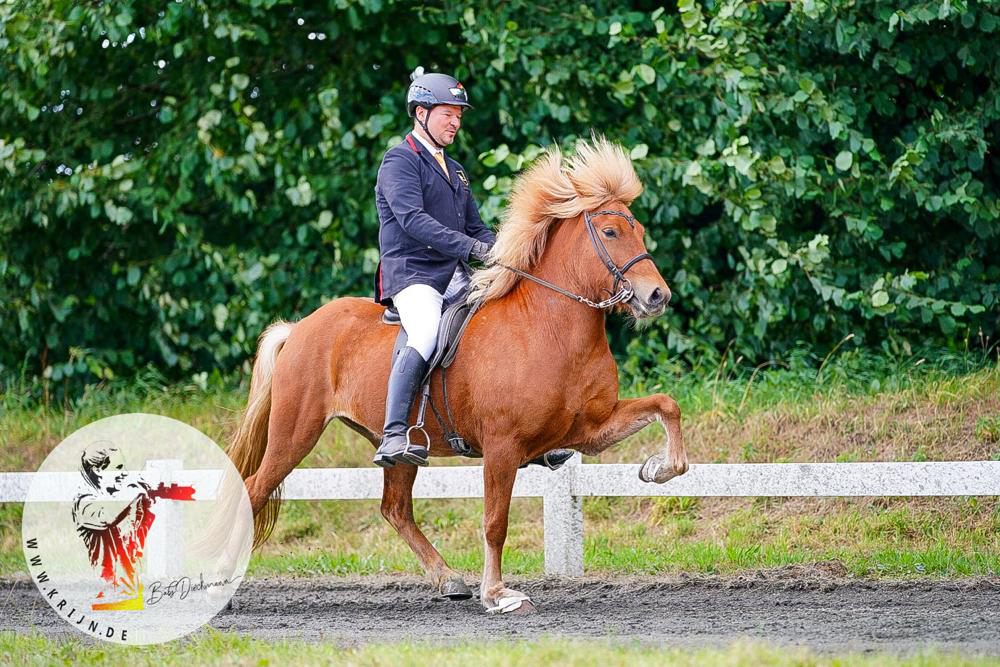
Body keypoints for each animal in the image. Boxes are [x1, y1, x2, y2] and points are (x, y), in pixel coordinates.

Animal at [228, 136, 692, 616]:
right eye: (611, 232)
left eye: (639, 230)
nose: (657, 296)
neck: (551, 327)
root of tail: (299, 328)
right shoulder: (502, 446)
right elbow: (495, 521)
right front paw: (498, 594)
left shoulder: (590, 430)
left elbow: (666, 405)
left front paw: (658, 467)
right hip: (294, 433)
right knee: (254, 488)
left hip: (398, 450)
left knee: (395, 508)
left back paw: (448, 578)